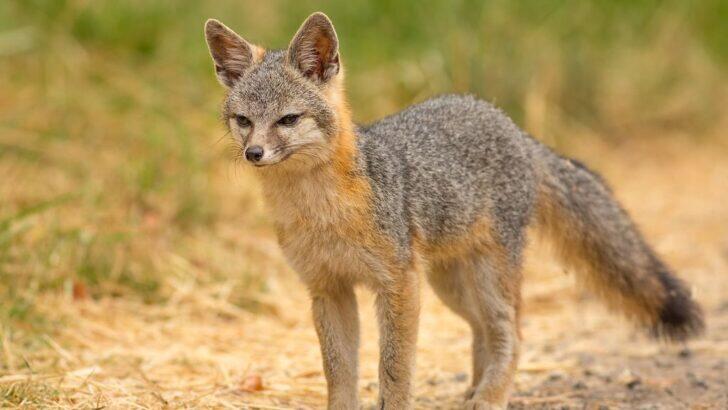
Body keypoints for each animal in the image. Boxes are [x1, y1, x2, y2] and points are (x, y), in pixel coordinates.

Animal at [204, 12, 704, 409]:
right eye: (243, 121)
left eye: (288, 120)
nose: (254, 153)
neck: (322, 211)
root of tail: (511, 126)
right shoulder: (328, 289)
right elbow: (339, 372)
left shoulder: (399, 285)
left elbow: (394, 369)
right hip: (451, 286)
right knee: (483, 332)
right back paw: (474, 391)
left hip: (483, 278)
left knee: (512, 332)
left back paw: (491, 397)